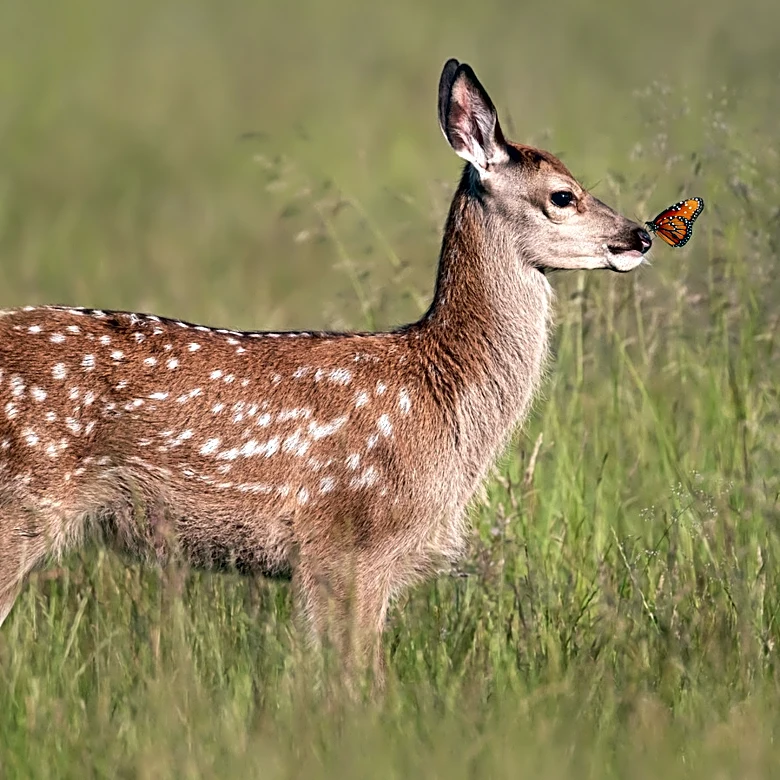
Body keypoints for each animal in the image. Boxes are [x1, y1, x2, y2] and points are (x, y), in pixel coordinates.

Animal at [0, 59, 651, 688]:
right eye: (563, 195)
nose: (641, 234)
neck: (442, 389)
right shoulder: (353, 538)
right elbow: (357, 675)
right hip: (22, 504)